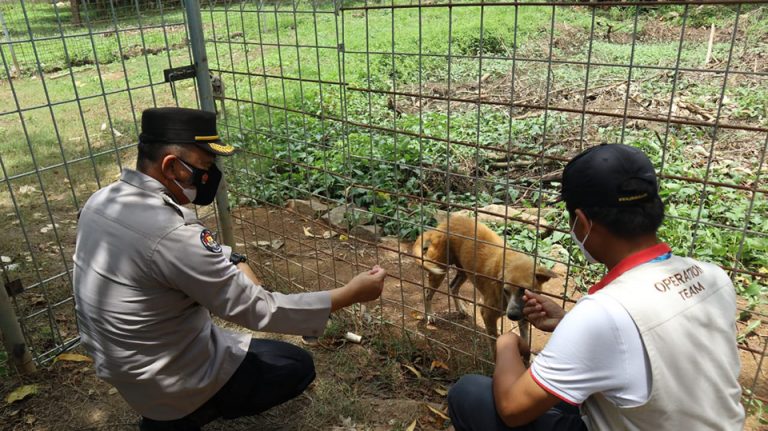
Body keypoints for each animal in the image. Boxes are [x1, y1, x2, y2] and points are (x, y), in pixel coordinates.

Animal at [414, 216, 560, 352]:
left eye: (524, 290)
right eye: (506, 290)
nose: (512, 316)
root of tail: (440, 227)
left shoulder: (523, 317)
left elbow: (525, 341)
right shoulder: (487, 314)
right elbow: (495, 346)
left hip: (464, 272)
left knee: (452, 287)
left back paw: (460, 308)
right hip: (439, 271)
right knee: (427, 292)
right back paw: (429, 315)